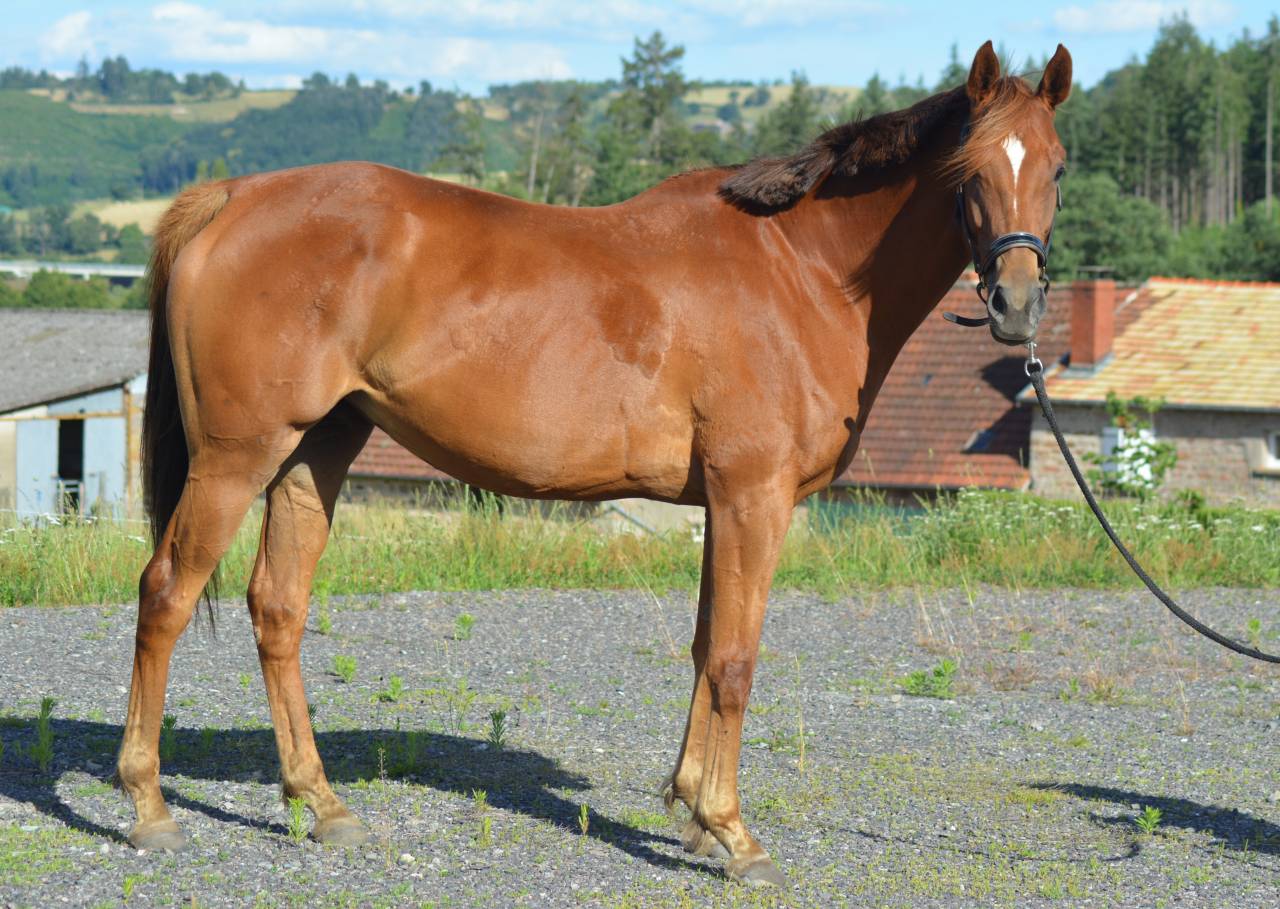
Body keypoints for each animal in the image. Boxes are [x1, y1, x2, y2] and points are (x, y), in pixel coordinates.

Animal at [115, 41, 1071, 886]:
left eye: (1057, 168)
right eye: (970, 169)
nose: (1017, 305)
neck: (803, 270)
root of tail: (231, 197)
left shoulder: (719, 503)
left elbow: (704, 646)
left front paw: (692, 811)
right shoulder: (753, 496)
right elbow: (735, 659)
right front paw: (733, 833)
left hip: (316, 451)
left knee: (278, 607)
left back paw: (323, 804)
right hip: (238, 457)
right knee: (165, 593)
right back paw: (148, 805)